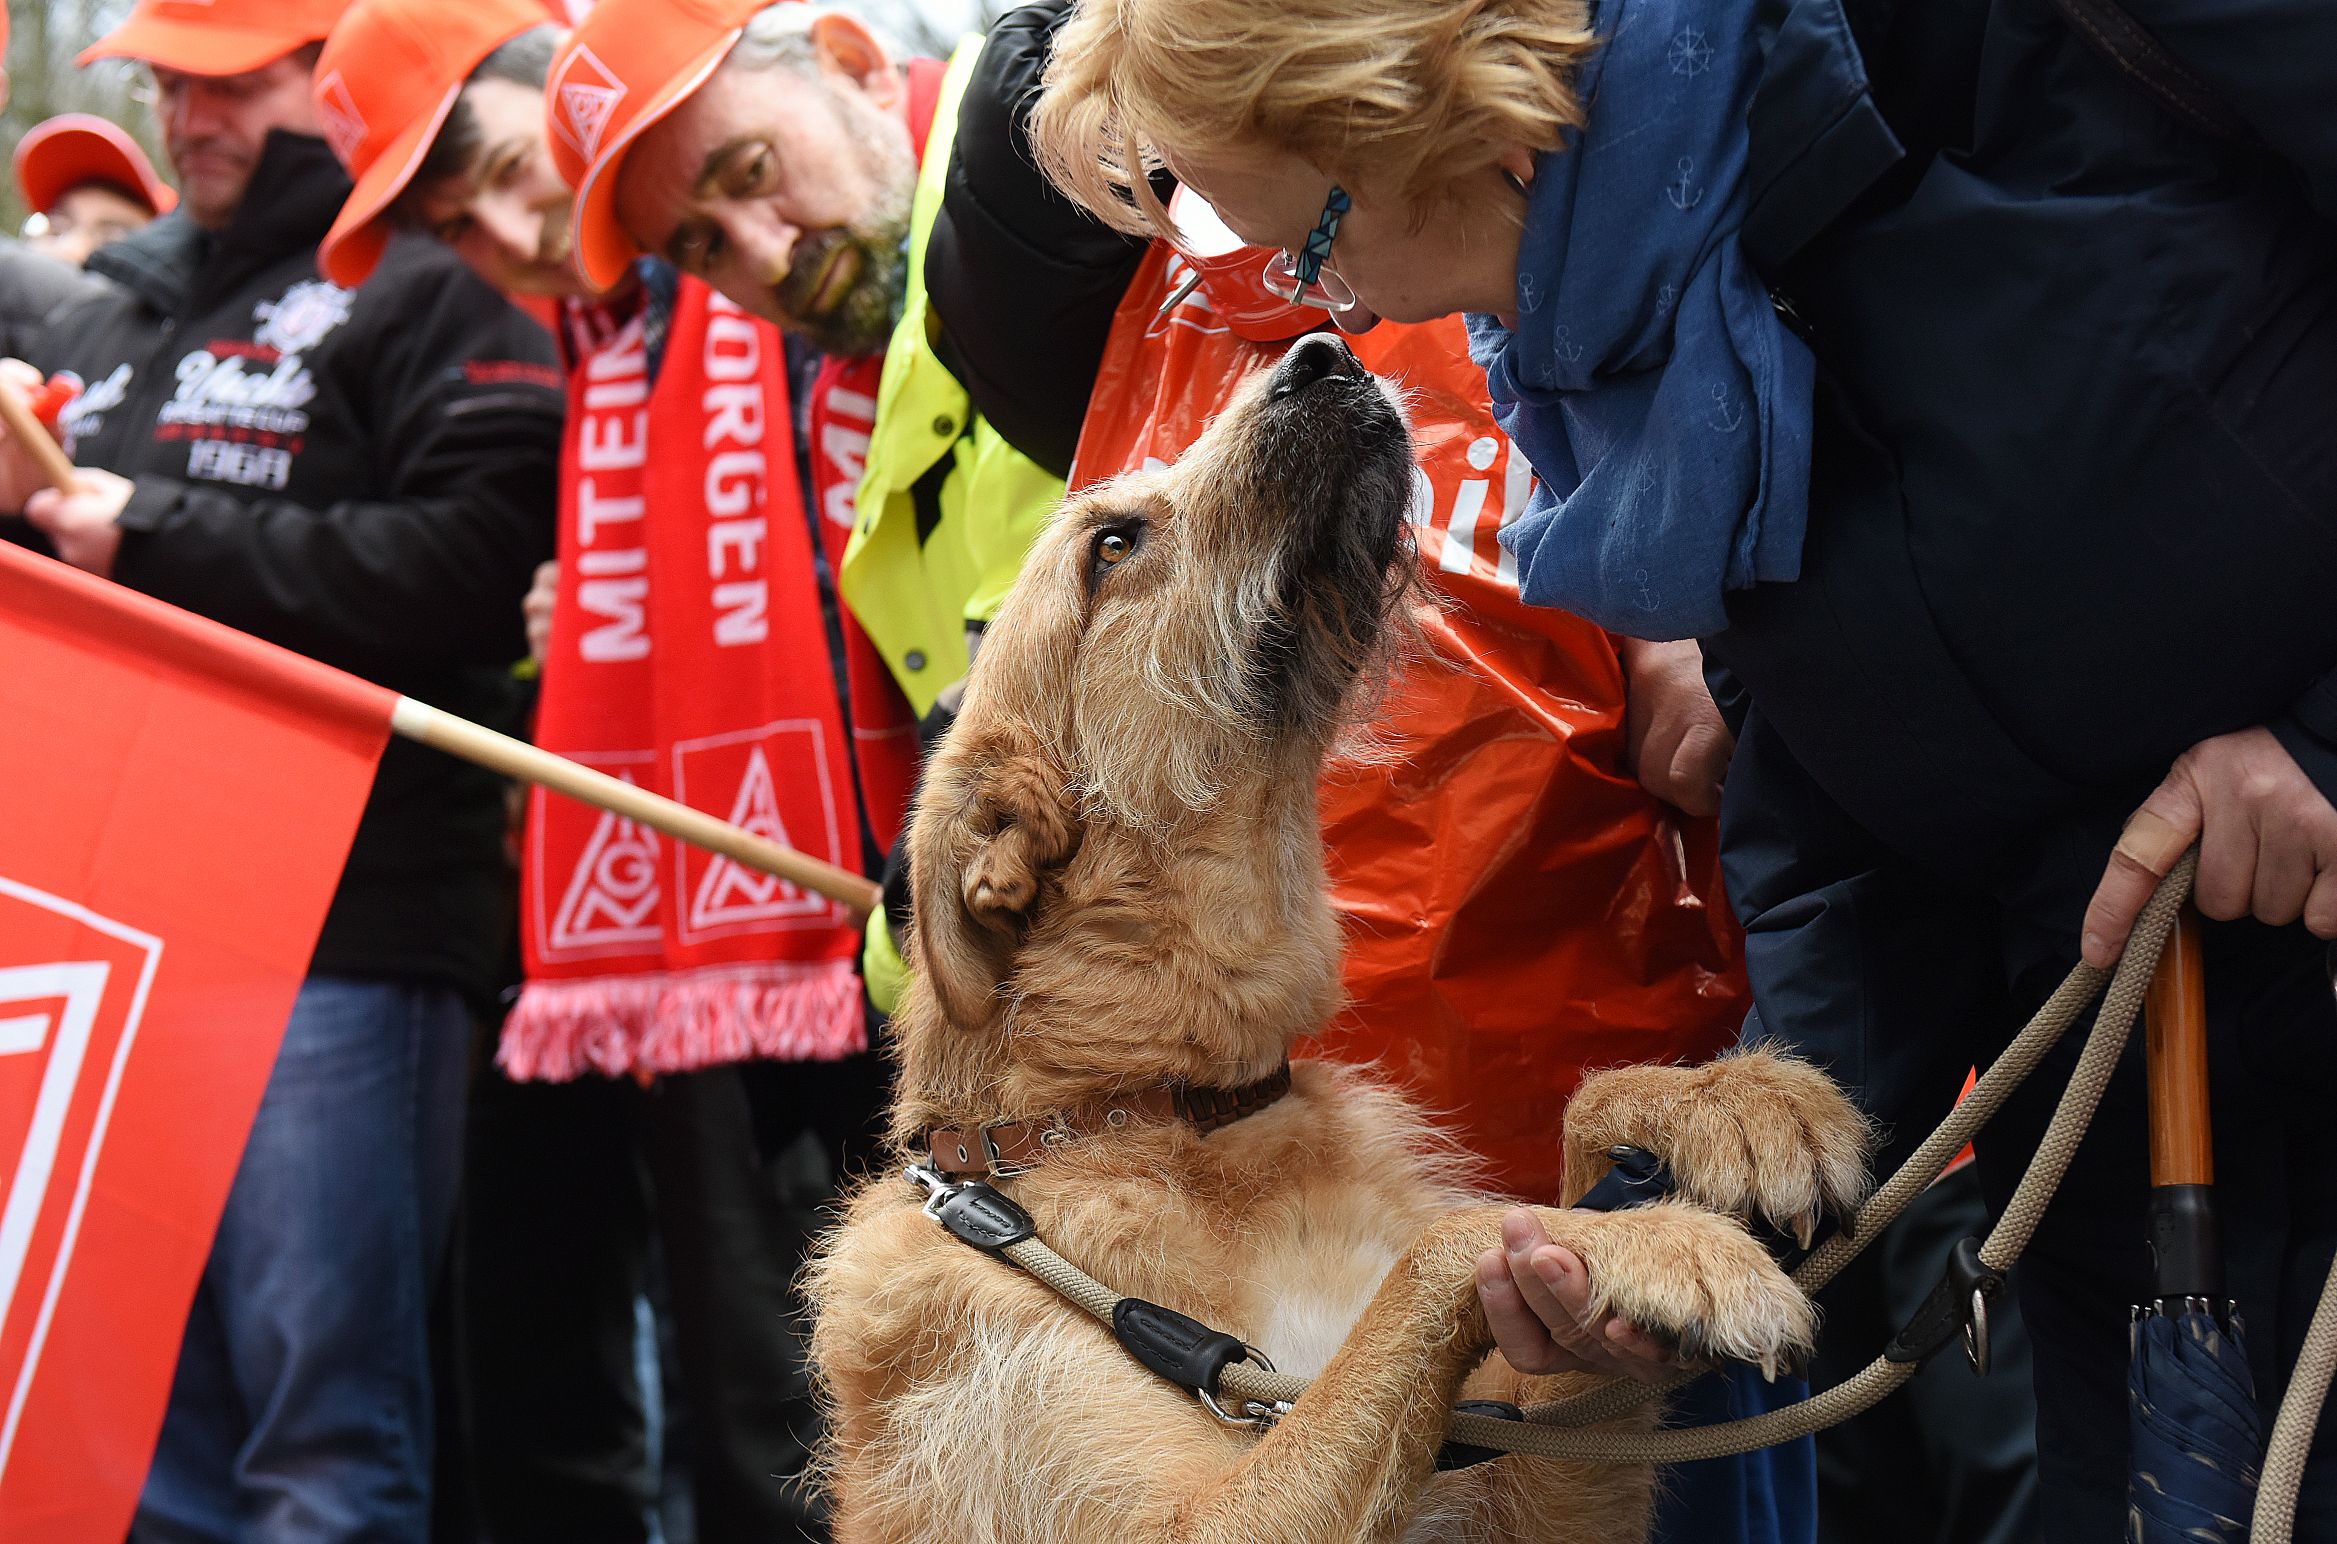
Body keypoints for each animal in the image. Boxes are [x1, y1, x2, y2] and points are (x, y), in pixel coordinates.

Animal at [813, 336, 1869, 1541]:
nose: (1323, 353)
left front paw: (1725, 1103)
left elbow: (1572, 1123)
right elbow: (1447, 1244)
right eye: (1112, 545)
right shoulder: (1196, 1521)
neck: (1159, 1117)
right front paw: (1654, 1243)